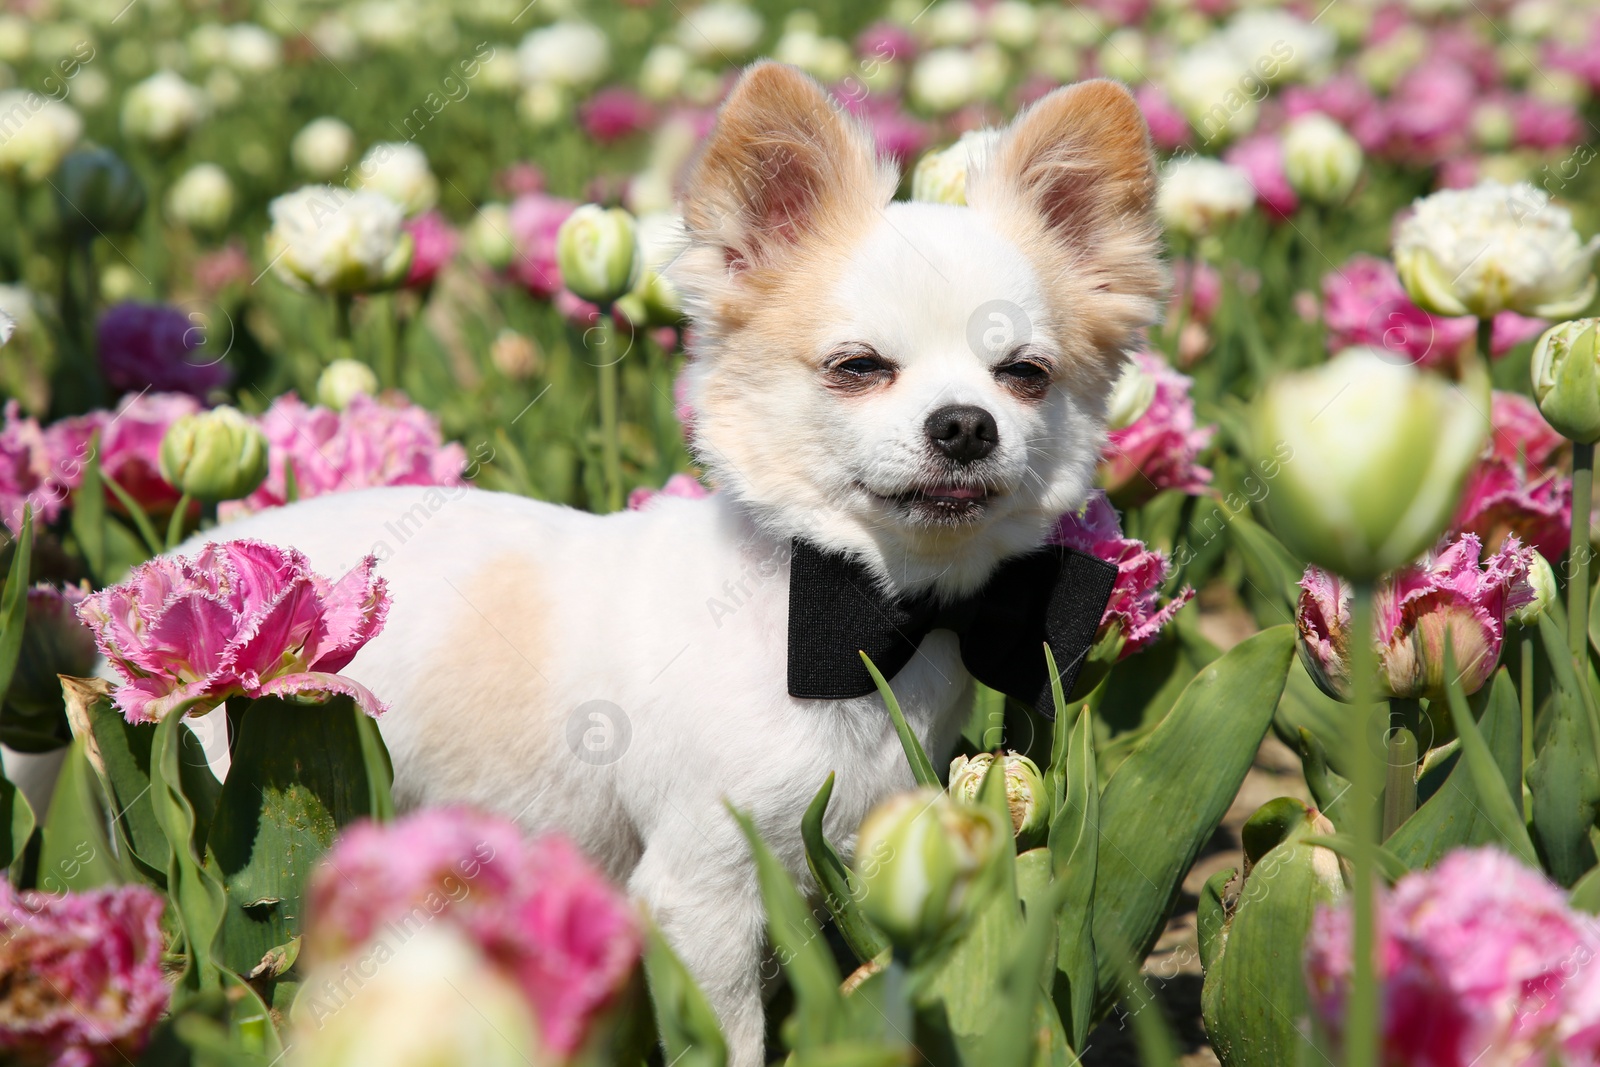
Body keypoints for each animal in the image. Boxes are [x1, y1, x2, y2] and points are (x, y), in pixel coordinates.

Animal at [200, 64, 1164, 1062]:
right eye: (858, 367)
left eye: (1025, 375)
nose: (966, 424)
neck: (851, 611)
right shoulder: (702, 890)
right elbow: (728, 1035)